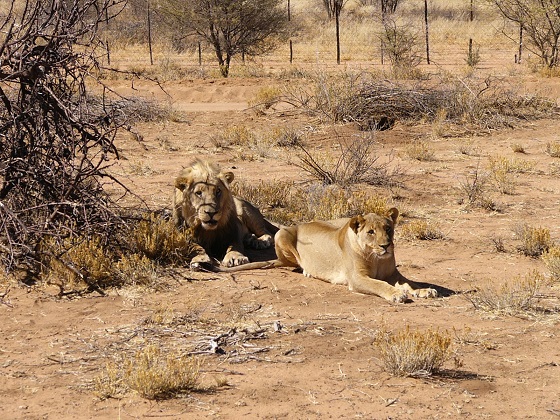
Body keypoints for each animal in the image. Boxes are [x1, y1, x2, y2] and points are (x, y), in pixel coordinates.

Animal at [223, 208, 438, 304]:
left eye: (388, 229)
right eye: (371, 232)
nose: (386, 246)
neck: (376, 258)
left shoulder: (394, 274)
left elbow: (410, 282)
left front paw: (424, 290)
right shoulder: (357, 278)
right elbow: (379, 284)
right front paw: (396, 294)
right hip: (281, 234)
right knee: (291, 263)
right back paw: (308, 271)